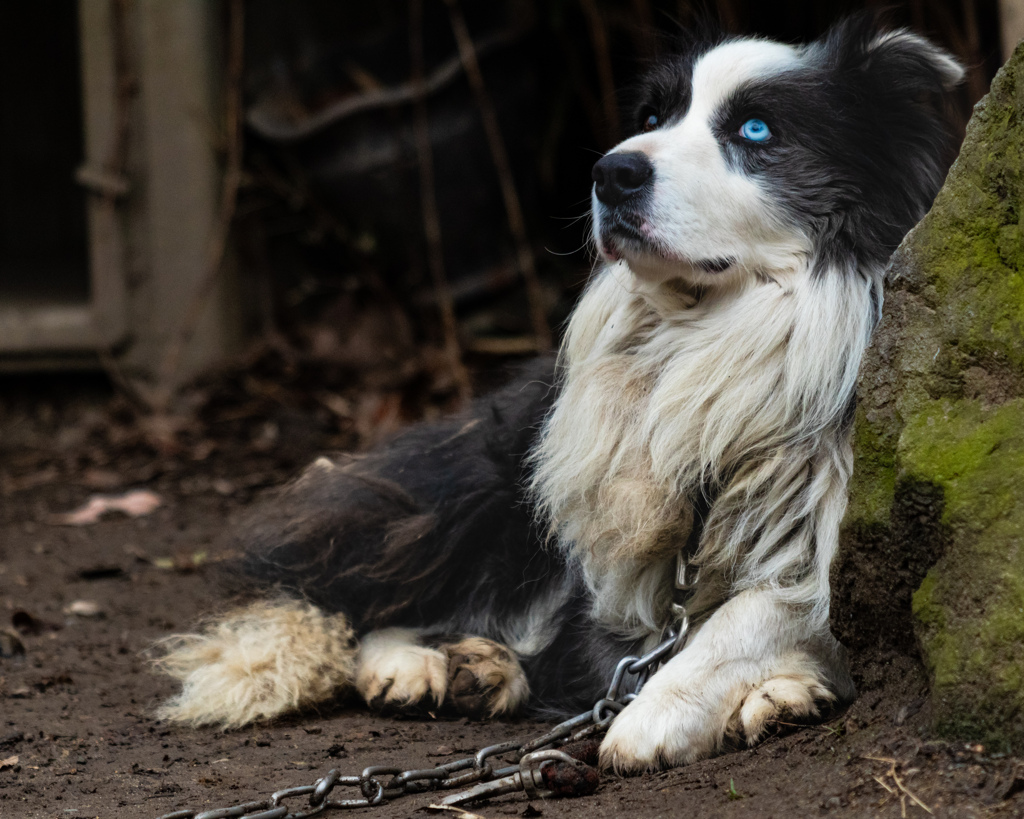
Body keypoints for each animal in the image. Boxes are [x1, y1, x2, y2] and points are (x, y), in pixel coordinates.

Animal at [149, 19, 958, 773]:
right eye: (656, 113)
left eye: (755, 129)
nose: (611, 172)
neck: (718, 329)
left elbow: (761, 607)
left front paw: (659, 714)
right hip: (500, 487)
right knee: (389, 590)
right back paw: (419, 665)